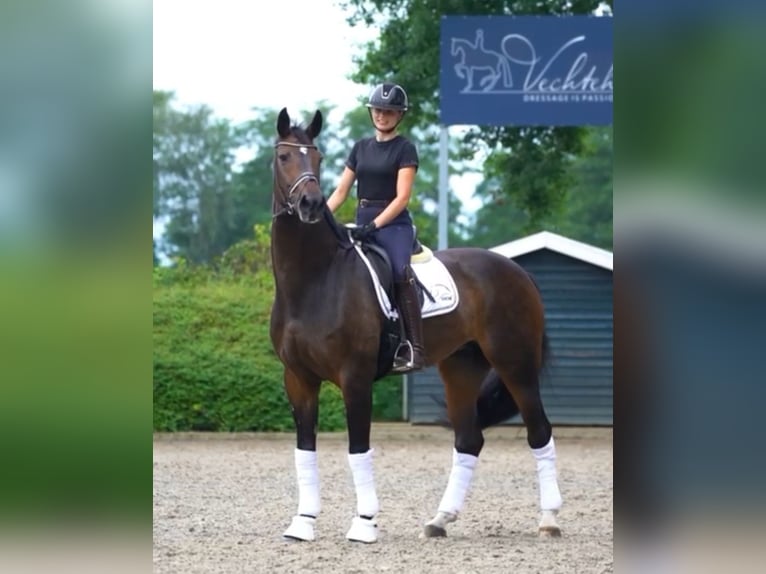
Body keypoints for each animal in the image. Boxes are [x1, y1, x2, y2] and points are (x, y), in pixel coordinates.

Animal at [270, 108, 564, 544]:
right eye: (284, 156)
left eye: (318, 158)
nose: (311, 203)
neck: (314, 279)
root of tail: (518, 272)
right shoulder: (298, 378)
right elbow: (305, 450)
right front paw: (303, 523)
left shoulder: (354, 376)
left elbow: (359, 449)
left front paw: (365, 524)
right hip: (461, 368)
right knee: (469, 439)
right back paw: (440, 520)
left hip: (516, 365)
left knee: (539, 431)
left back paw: (549, 520)